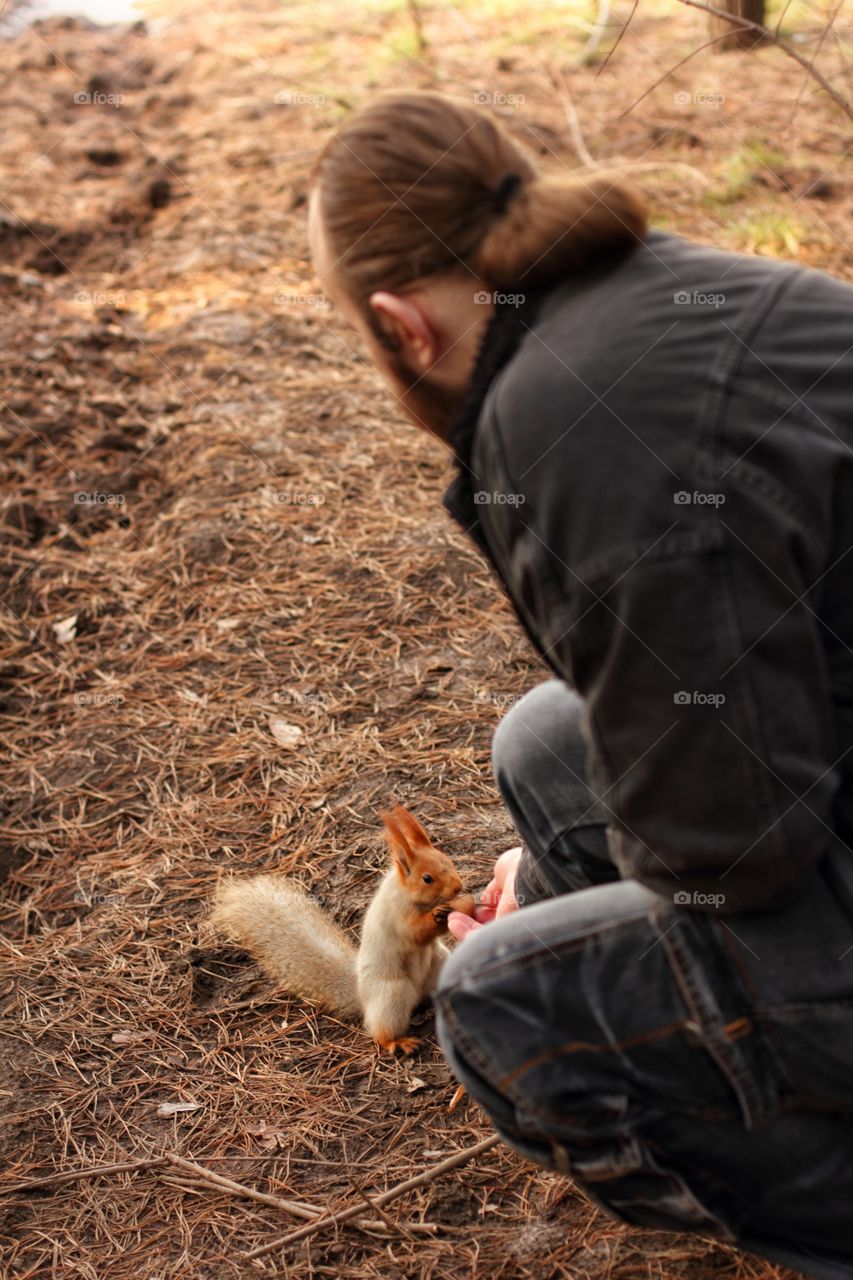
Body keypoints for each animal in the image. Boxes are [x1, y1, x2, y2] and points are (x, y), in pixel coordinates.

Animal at [210, 806, 476, 1055]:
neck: (407, 894)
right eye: (427, 878)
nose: (458, 887)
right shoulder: (398, 916)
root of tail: (362, 994)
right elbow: (416, 931)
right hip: (393, 993)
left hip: (439, 963)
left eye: (448, 861)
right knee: (381, 1031)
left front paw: (466, 903)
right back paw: (397, 1042)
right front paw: (438, 914)